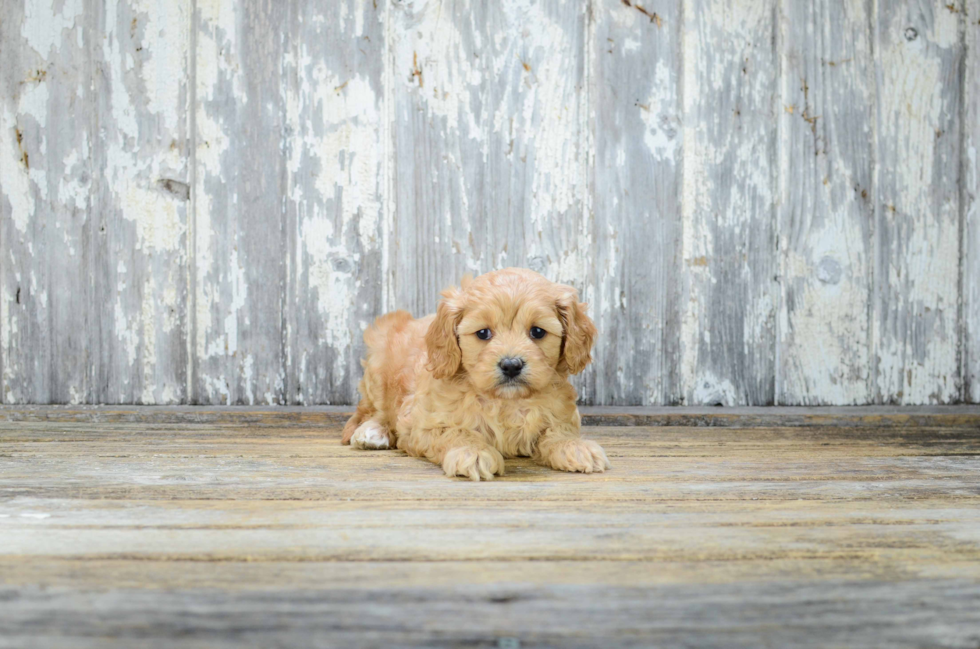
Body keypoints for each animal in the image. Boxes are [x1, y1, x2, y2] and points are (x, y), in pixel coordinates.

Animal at [340, 264, 608, 480]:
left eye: (538, 332)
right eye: (483, 333)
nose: (511, 365)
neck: (505, 401)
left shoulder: (561, 414)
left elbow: (557, 430)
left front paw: (574, 446)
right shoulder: (421, 424)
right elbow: (456, 431)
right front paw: (473, 452)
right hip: (378, 371)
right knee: (373, 410)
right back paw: (372, 432)